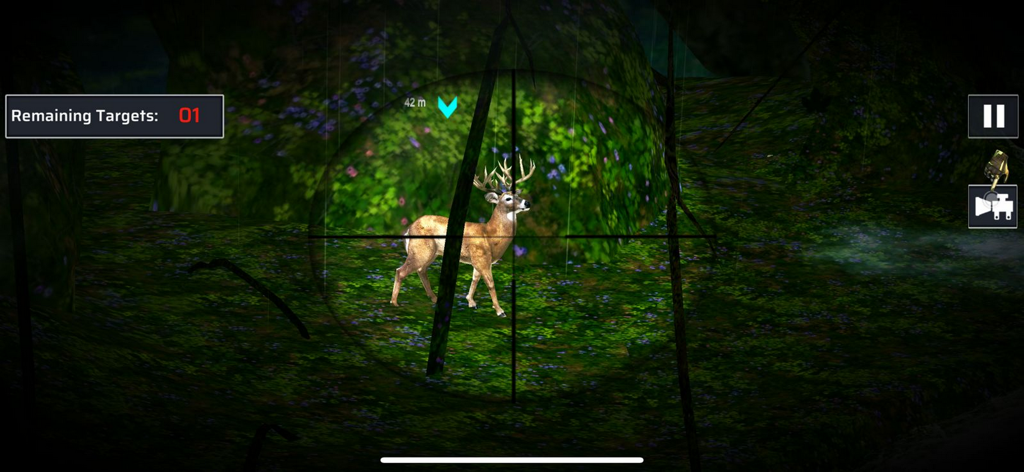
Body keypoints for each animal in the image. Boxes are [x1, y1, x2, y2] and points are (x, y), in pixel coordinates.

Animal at [390, 154, 536, 317]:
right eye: (508, 198)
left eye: (518, 194)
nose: (527, 203)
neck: (490, 236)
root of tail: (409, 229)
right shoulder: (480, 257)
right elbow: (490, 283)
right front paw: (500, 311)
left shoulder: (478, 261)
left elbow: (475, 280)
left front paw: (471, 302)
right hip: (420, 249)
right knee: (401, 271)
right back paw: (394, 303)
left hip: (432, 252)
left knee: (421, 270)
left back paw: (434, 299)